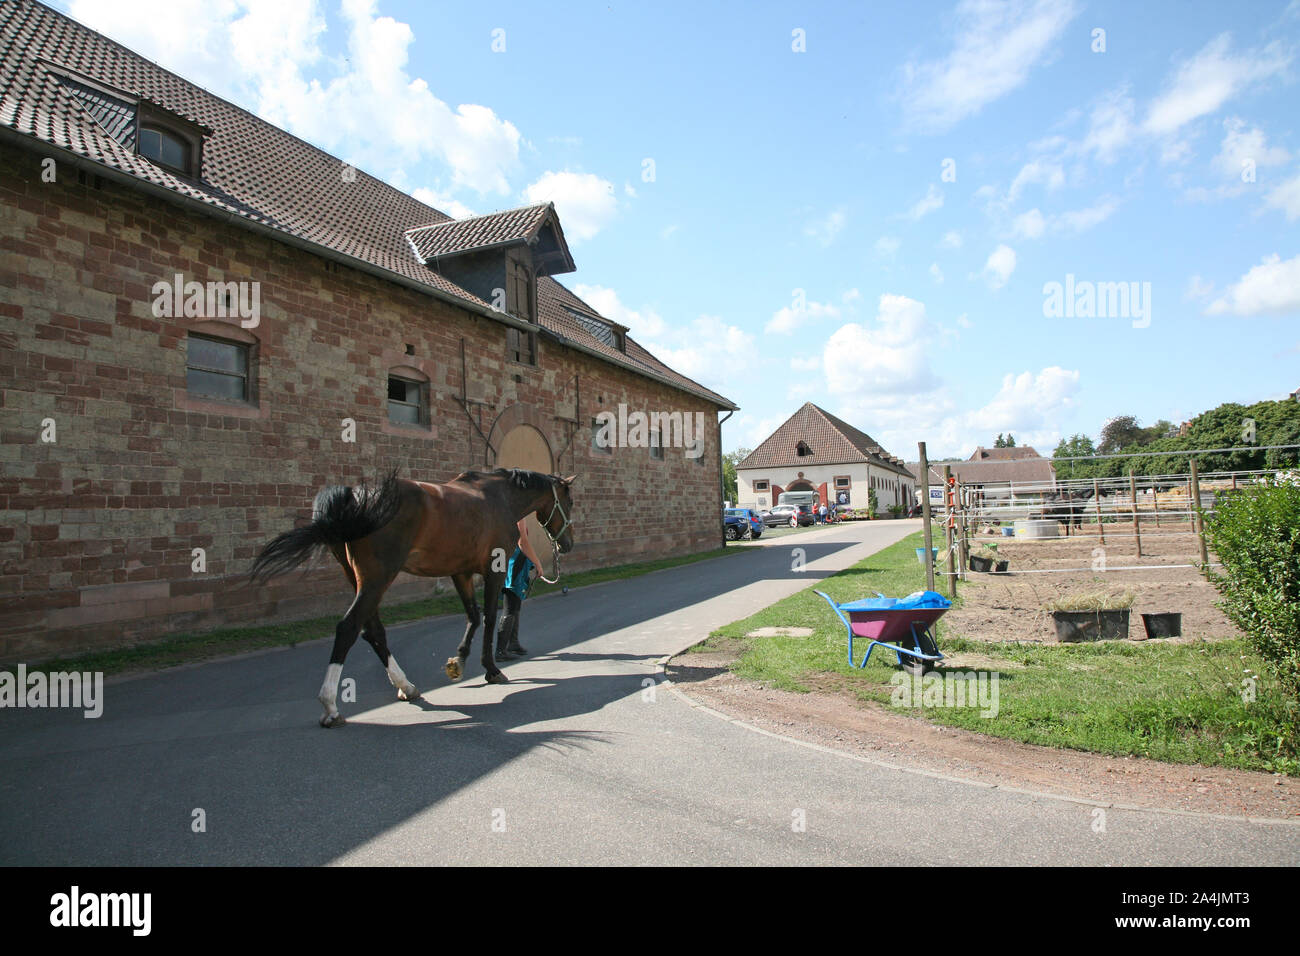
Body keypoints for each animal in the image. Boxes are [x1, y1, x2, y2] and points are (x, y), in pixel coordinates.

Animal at [250, 468, 577, 723]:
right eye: (570, 501)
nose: (569, 544)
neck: (500, 498)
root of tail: (356, 498)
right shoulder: (493, 571)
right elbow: (488, 617)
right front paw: (492, 669)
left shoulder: (459, 571)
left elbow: (472, 617)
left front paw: (458, 662)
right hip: (377, 579)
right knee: (348, 628)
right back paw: (330, 705)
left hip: (360, 580)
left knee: (373, 632)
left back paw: (406, 686)